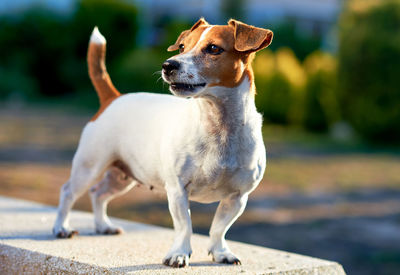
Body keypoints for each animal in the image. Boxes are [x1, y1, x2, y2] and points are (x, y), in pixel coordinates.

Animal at [52, 18, 272, 268]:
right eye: (182, 47)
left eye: (214, 48)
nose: (168, 65)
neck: (218, 126)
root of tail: (113, 97)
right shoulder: (177, 190)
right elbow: (184, 226)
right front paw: (179, 254)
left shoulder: (237, 198)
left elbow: (219, 228)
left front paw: (221, 252)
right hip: (89, 167)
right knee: (68, 192)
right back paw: (61, 228)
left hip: (122, 176)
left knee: (98, 194)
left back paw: (103, 226)